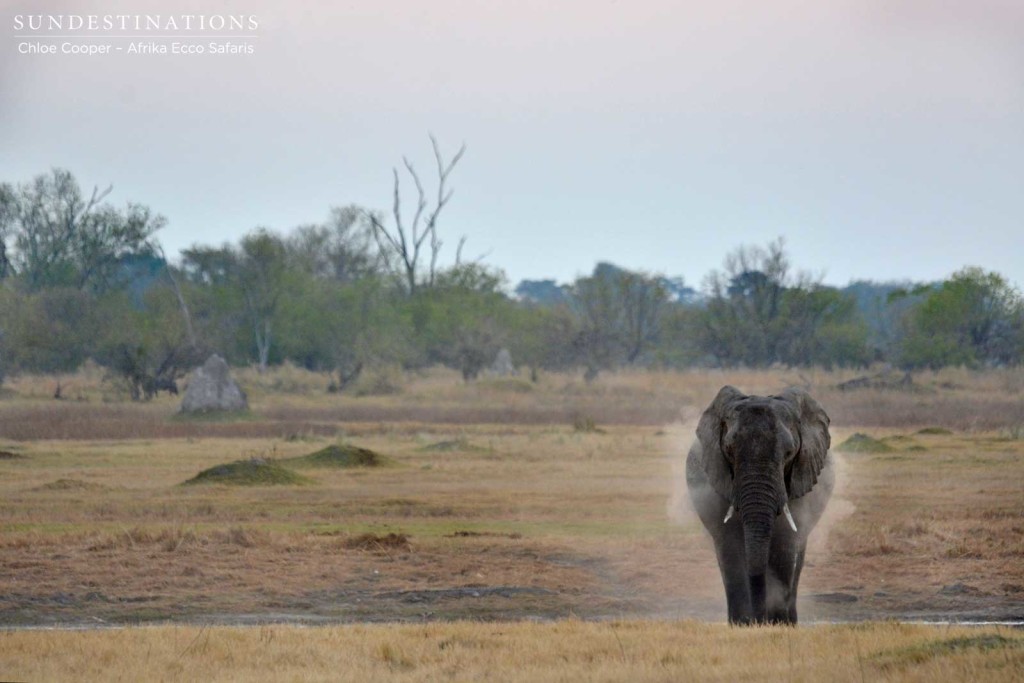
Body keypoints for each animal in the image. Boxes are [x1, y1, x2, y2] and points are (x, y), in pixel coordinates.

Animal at [684, 385, 835, 626]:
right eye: (729, 450)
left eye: (789, 453)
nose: (759, 620)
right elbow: (730, 546)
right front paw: (742, 625)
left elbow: (784, 542)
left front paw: (778, 624)